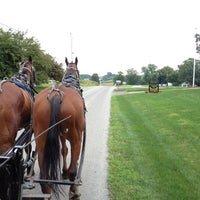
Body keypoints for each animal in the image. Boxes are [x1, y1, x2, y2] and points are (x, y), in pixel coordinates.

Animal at [32, 57, 85, 199]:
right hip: (76, 138)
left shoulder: (60, 135)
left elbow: (63, 150)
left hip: (41, 140)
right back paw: (74, 191)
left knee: (44, 176)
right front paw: (66, 172)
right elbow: (69, 154)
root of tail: (56, 95)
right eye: (78, 71)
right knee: (73, 171)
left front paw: (63, 171)